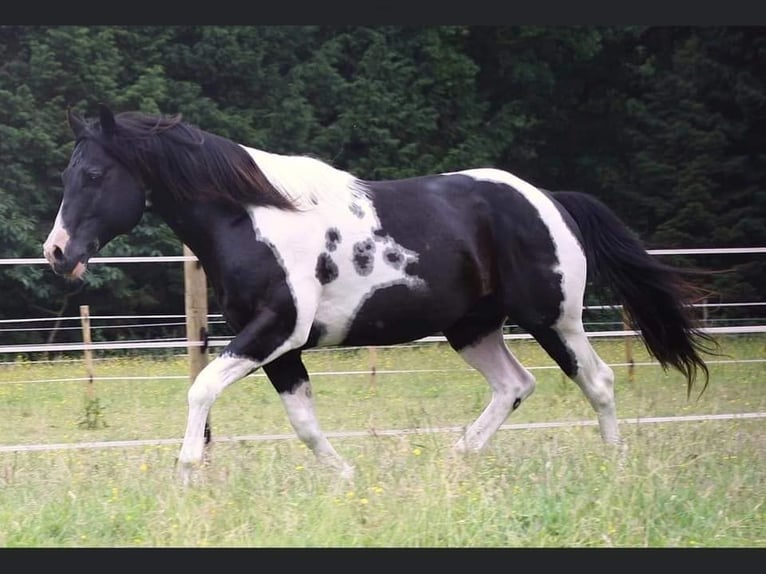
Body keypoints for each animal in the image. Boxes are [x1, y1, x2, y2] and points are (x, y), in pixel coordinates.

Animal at [40, 104, 712, 486]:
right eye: (67, 174)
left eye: (95, 174)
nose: (57, 253)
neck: (253, 218)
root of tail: (549, 199)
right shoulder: (281, 348)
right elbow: (305, 423)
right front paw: (348, 479)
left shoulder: (274, 330)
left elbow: (202, 386)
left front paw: (185, 473)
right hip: (472, 328)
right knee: (514, 386)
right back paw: (455, 461)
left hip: (555, 318)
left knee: (597, 382)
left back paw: (614, 466)